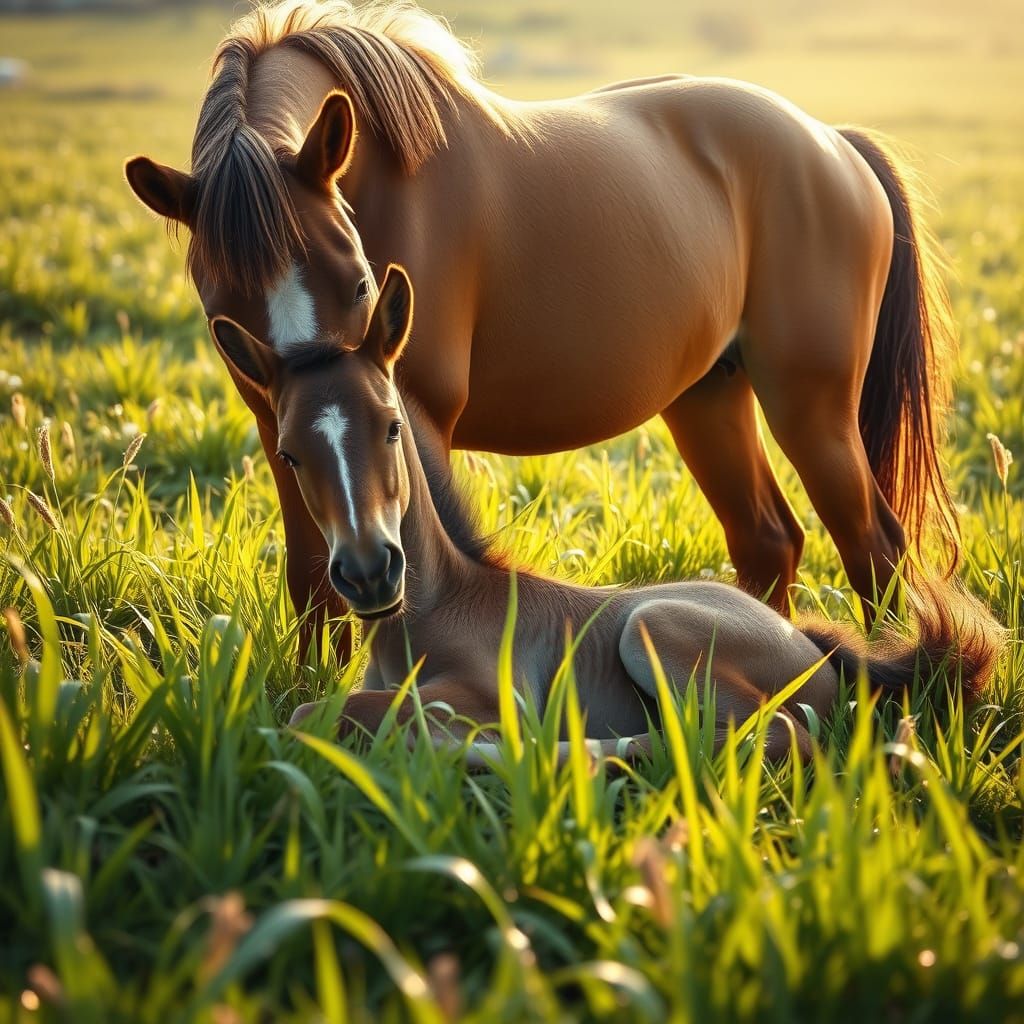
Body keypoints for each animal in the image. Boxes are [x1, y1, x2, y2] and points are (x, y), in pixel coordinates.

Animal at [125, 0, 960, 655]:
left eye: (359, 282)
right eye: (222, 313)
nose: (334, 394)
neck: (386, 178)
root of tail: (832, 141)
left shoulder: (418, 419)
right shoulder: (281, 435)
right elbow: (311, 584)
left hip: (810, 407)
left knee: (874, 548)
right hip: (708, 396)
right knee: (768, 541)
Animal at [208, 265, 998, 761]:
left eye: (392, 426)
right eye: (288, 455)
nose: (371, 572)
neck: (431, 612)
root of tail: (813, 645)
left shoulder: (480, 694)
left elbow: (314, 714)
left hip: (657, 626)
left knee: (759, 738)